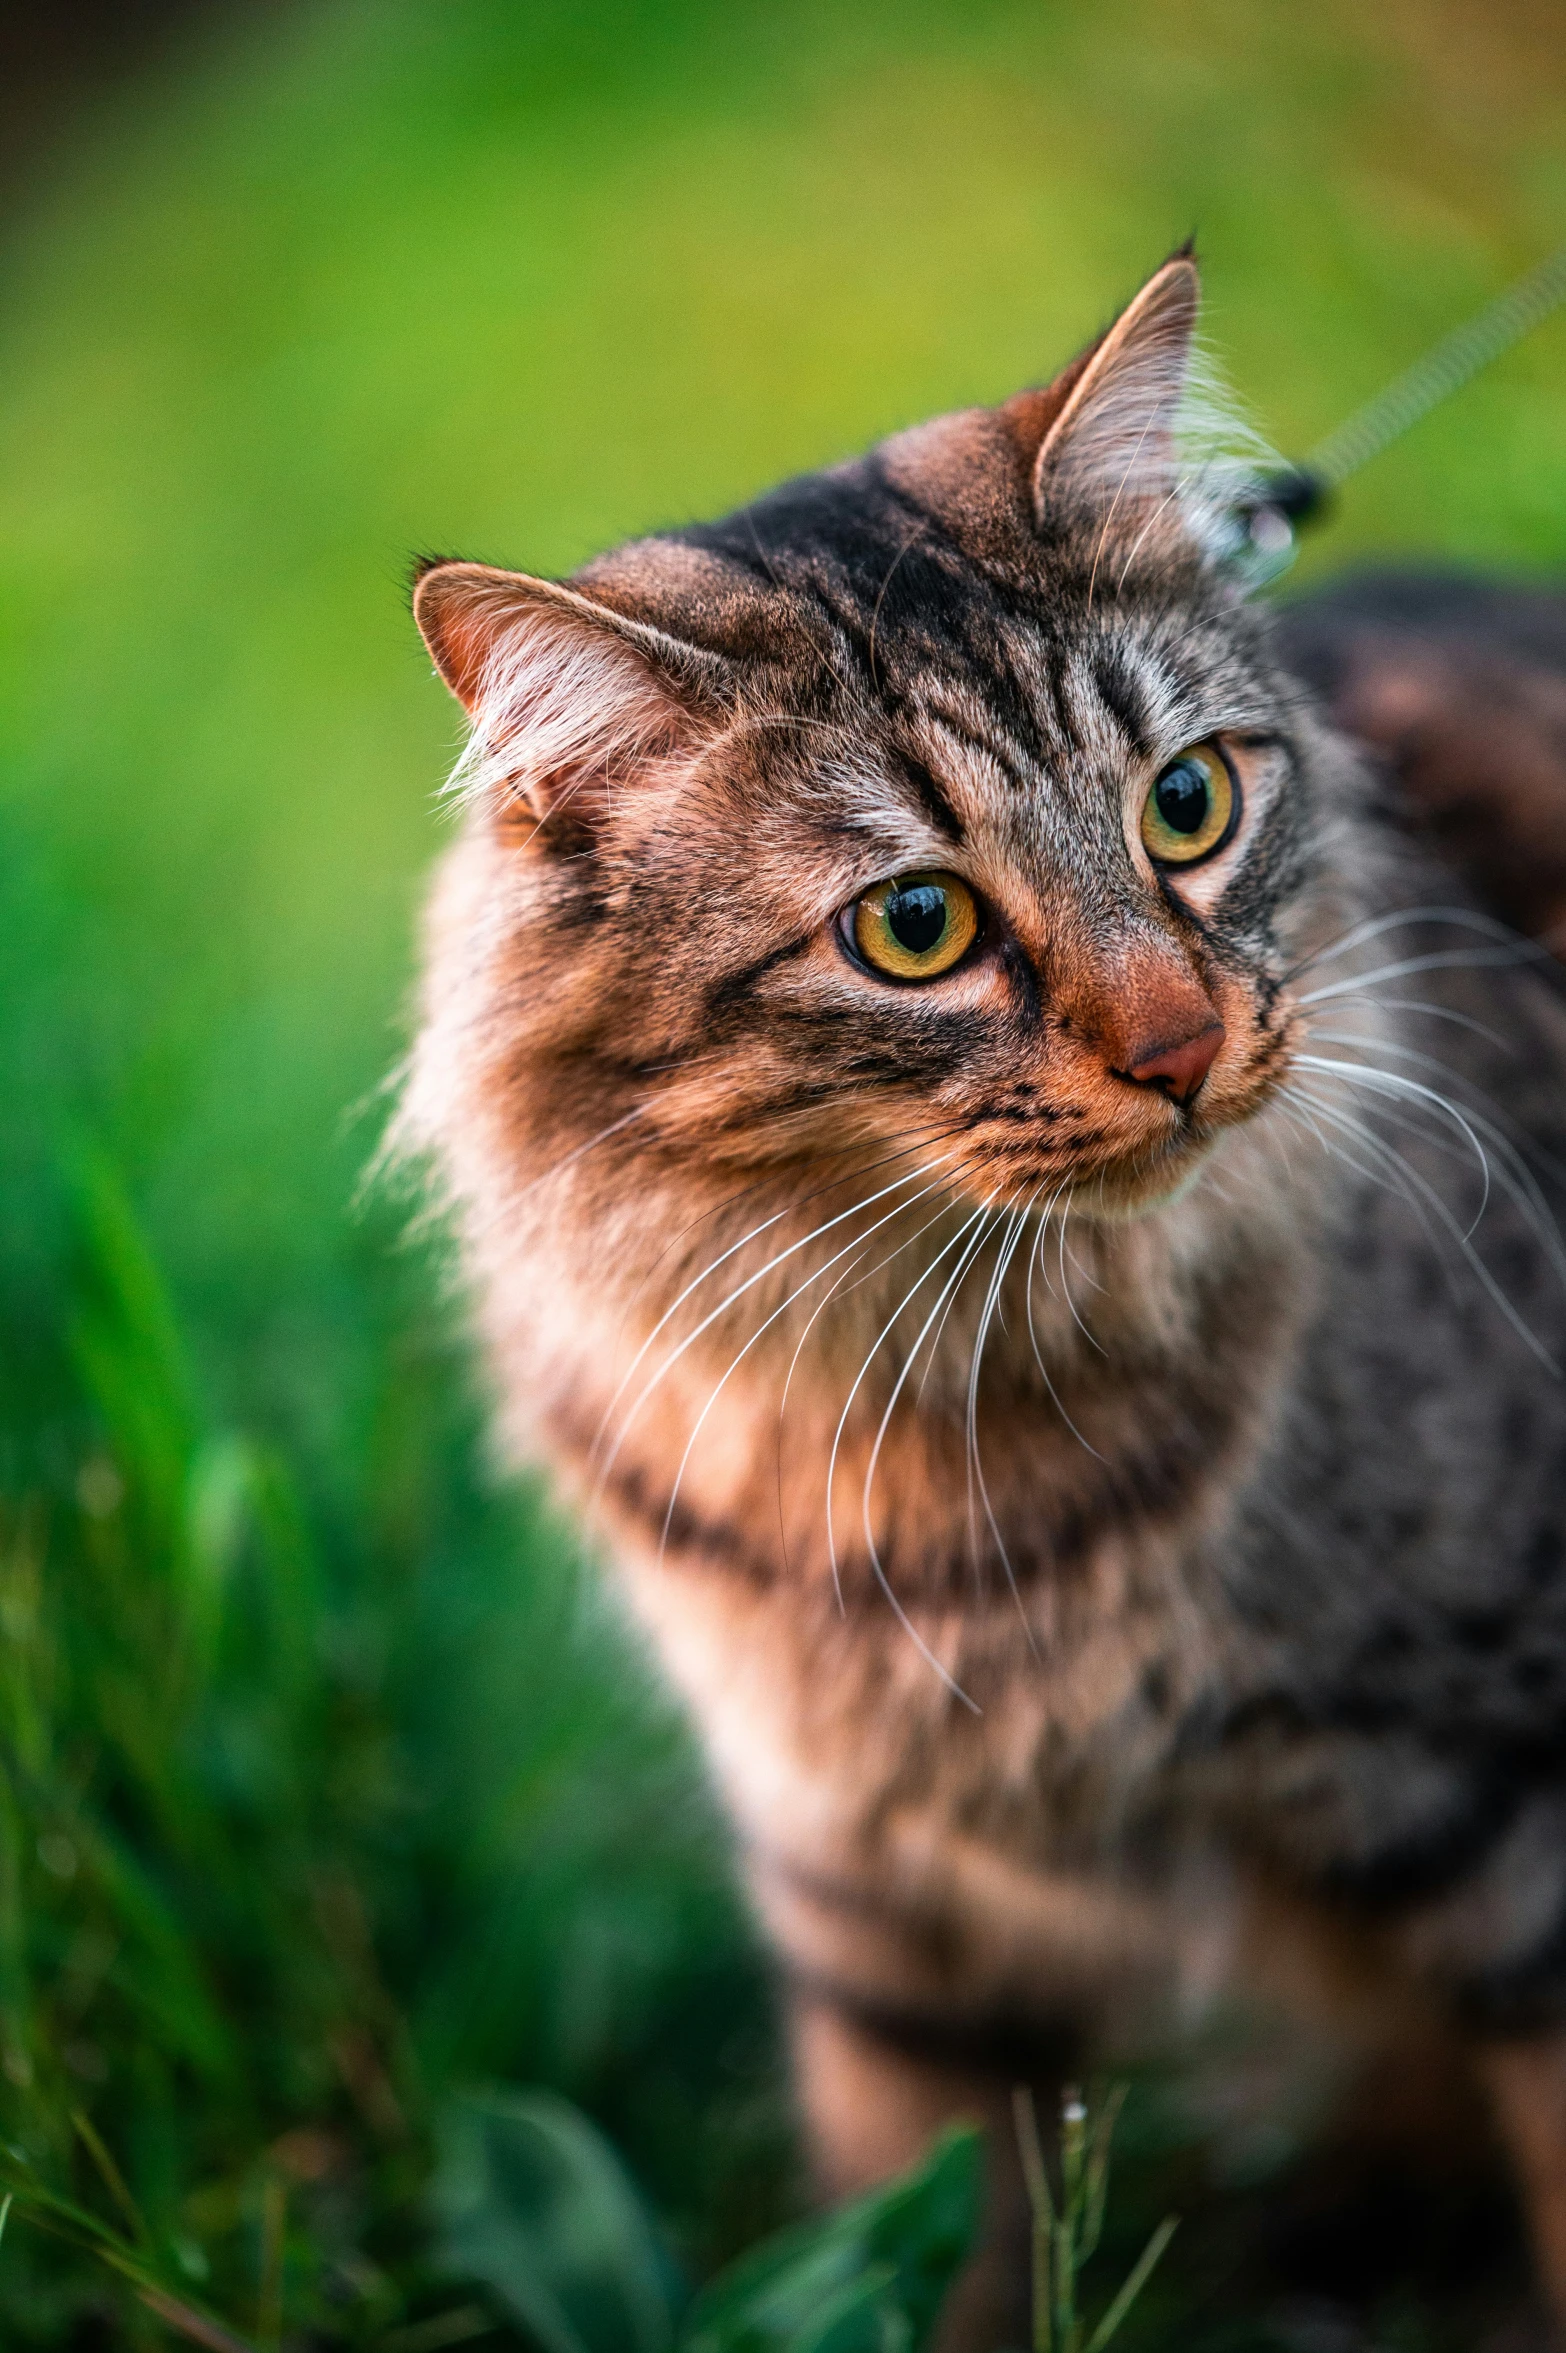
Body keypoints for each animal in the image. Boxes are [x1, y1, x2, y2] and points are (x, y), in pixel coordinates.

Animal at [399, 257, 1566, 2334]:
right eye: (915, 926)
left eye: (1186, 804)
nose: (1180, 1051)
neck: (937, 1410)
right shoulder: (884, 1926)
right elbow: (934, 2248)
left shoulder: (1515, 1808)